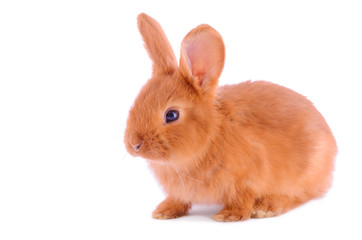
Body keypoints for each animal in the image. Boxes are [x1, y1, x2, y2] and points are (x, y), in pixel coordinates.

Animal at [124, 13, 336, 221]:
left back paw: (266, 207)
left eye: (171, 115)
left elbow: (242, 198)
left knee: (297, 196)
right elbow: (178, 199)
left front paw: (229, 215)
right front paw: (164, 211)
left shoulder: (249, 178)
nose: (134, 145)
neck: (210, 136)